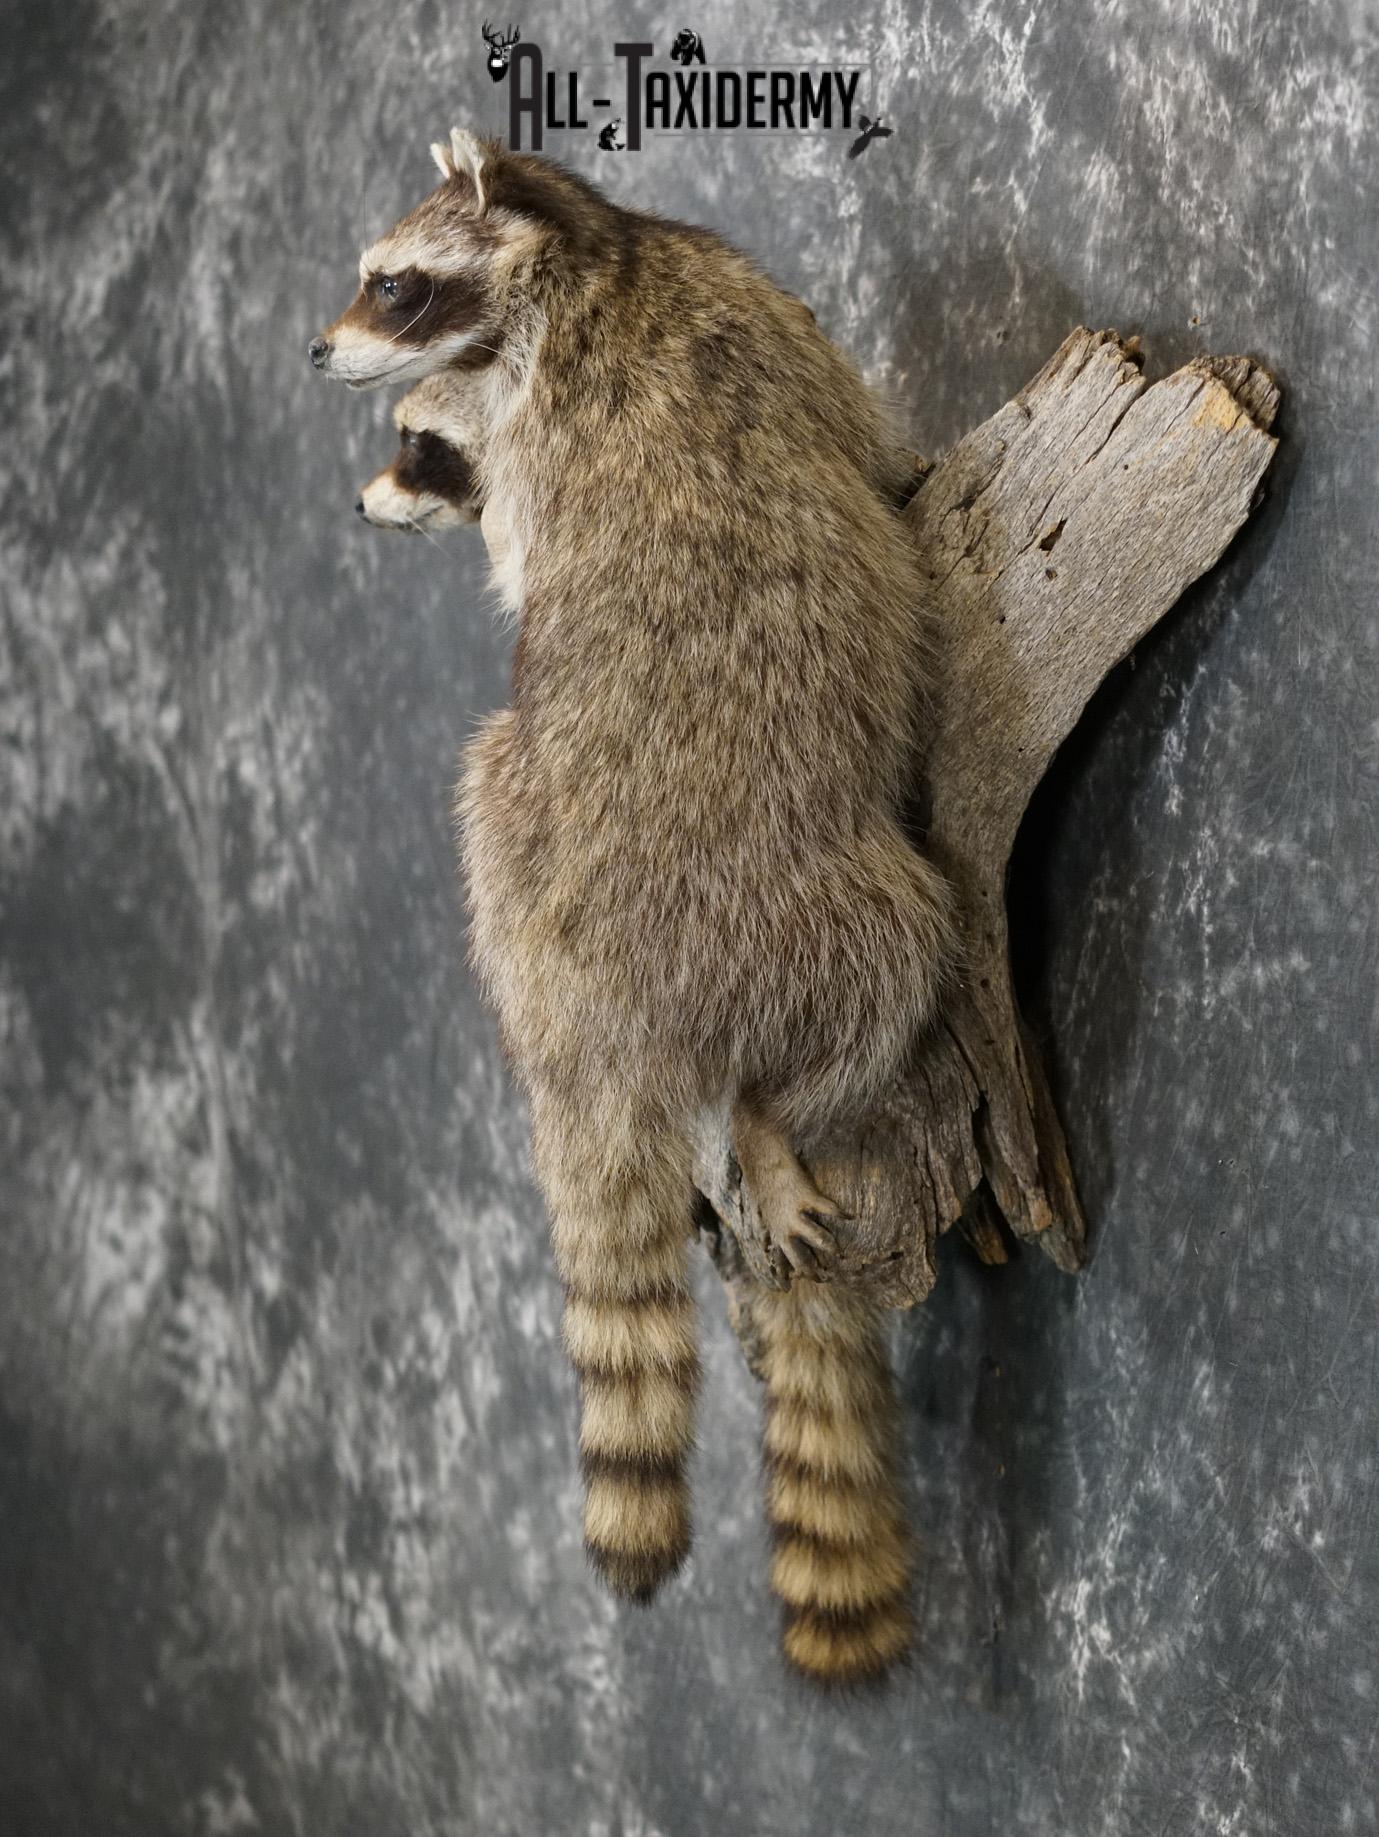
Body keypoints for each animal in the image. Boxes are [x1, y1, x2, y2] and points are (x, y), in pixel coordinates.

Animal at [318, 131, 951, 1682]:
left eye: (390, 283)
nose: (316, 352)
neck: (584, 262)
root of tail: (596, 1015)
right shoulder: (751, 318)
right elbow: (856, 438)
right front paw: (906, 463)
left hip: (513, 834)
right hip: (787, 894)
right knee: (894, 963)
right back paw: (774, 1106)